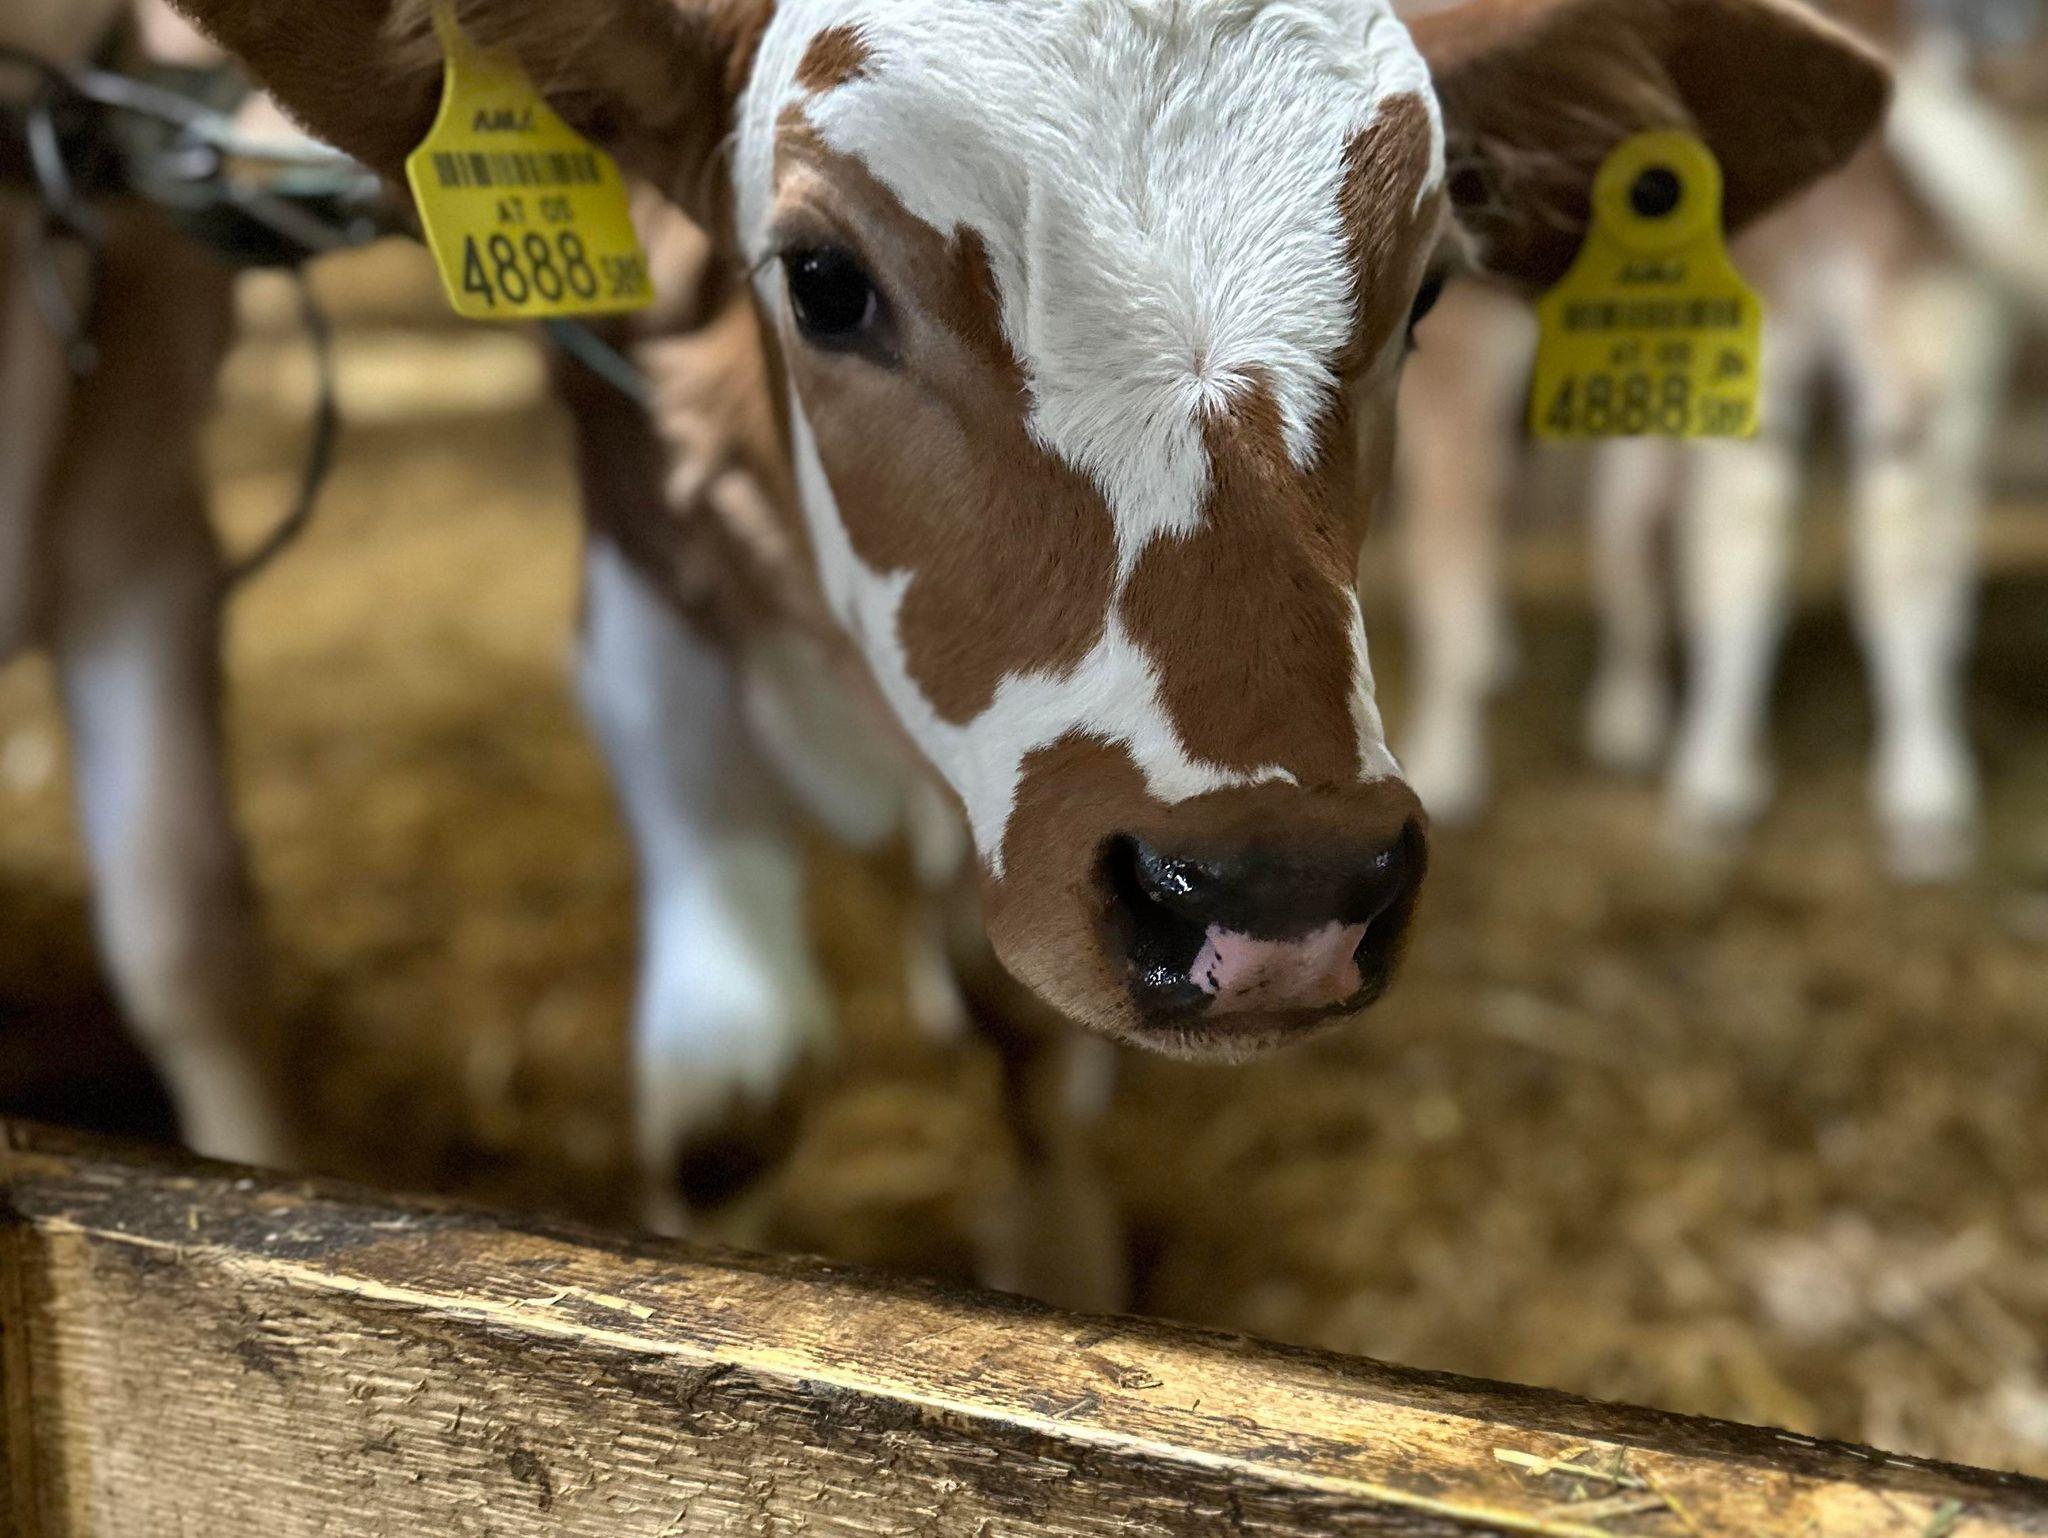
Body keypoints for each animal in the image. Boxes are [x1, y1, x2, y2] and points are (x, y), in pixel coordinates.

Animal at [28, 0, 1885, 1249]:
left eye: (1426, 288)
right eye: (822, 279)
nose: (1280, 894)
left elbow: (1021, 1026)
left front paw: (1060, 1259)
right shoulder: (634, 552)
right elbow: (731, 1086)